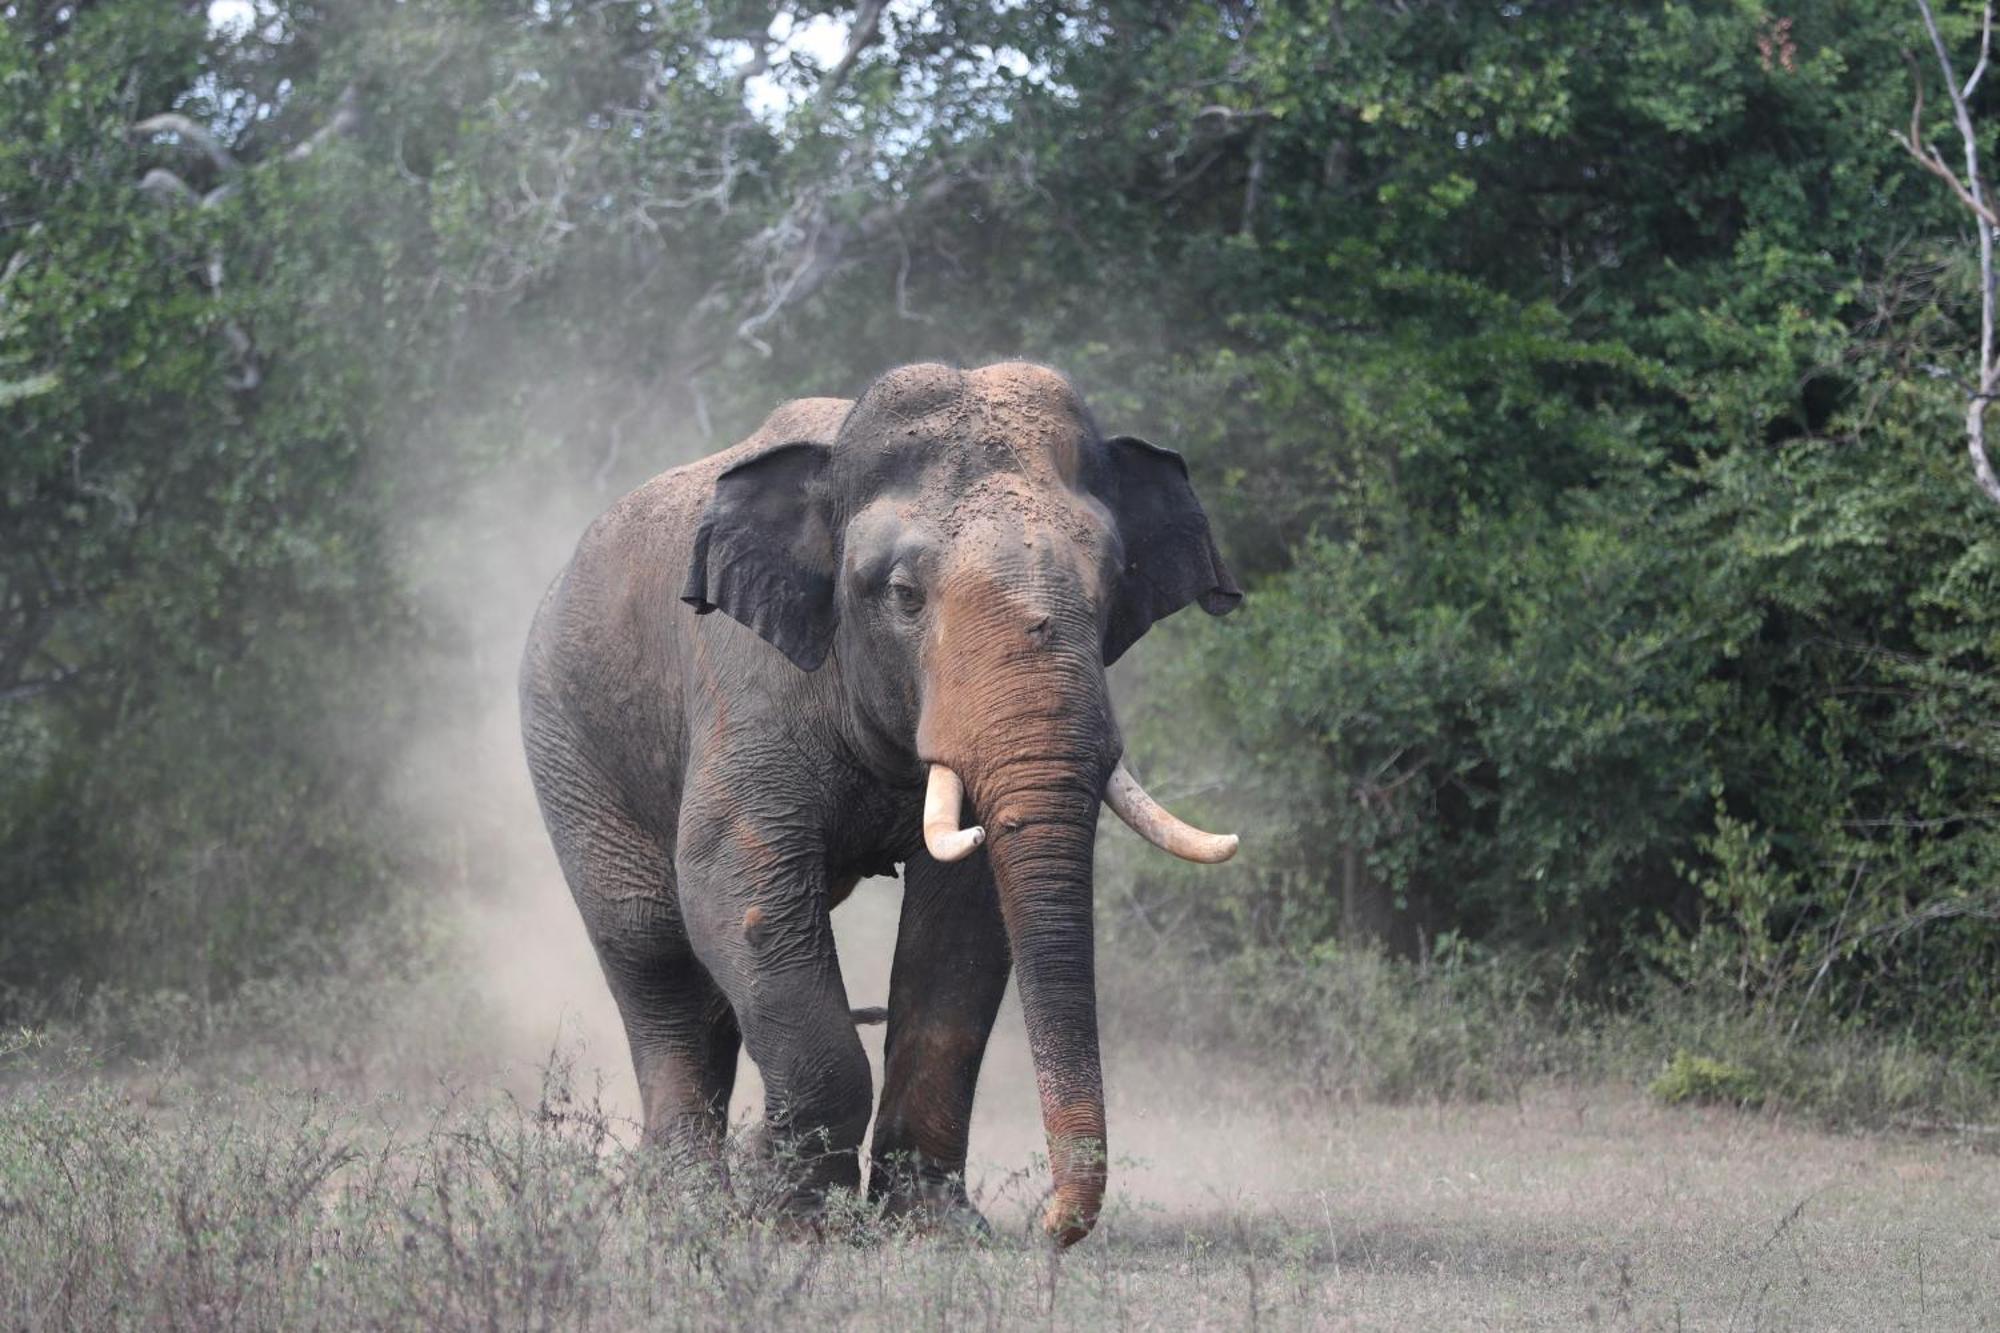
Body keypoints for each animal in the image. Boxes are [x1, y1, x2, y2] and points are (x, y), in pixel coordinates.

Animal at [516, 358, 1232, 1240]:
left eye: (1110, 590)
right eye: (902, 594)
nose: (1049, 1224)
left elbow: (961, 927)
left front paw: (935, 1229)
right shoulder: (745, 682)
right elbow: (735, 891)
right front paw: (795, 1221)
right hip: (568, 740)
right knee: (651, 950)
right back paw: (688, 1208)